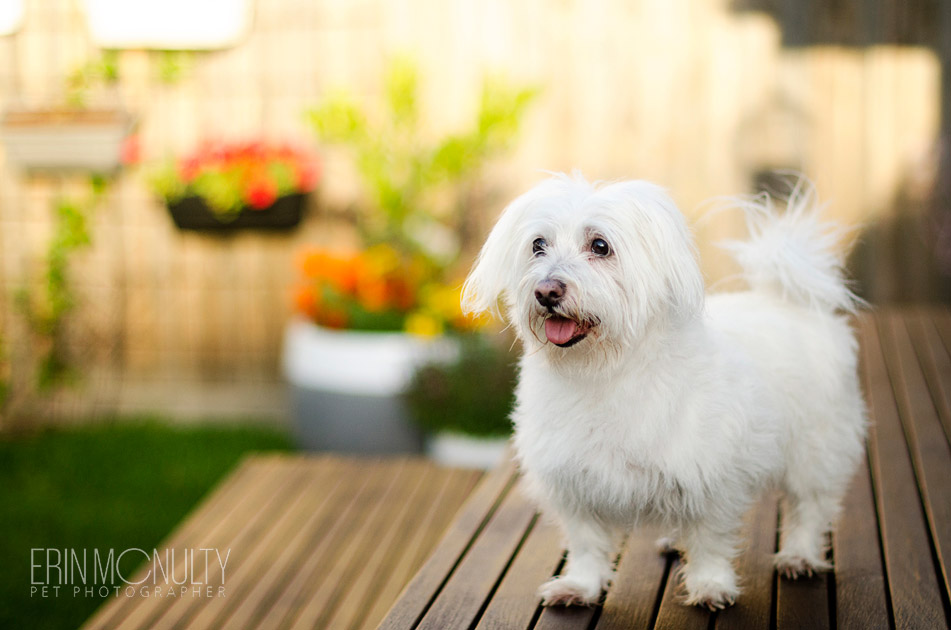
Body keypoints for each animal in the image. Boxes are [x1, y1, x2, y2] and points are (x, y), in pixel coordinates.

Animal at [462, 173, 872, 612]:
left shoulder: (712, 480)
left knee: (808, 509)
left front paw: (710, 585)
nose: (546, 290)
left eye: (600, 246)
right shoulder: (574, 486)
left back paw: (799, 555)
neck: (604, 372)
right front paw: (580, 586)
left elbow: (710, 540)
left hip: (815, 454)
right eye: (538, 245)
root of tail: (784, 297)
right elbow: (587, 544)